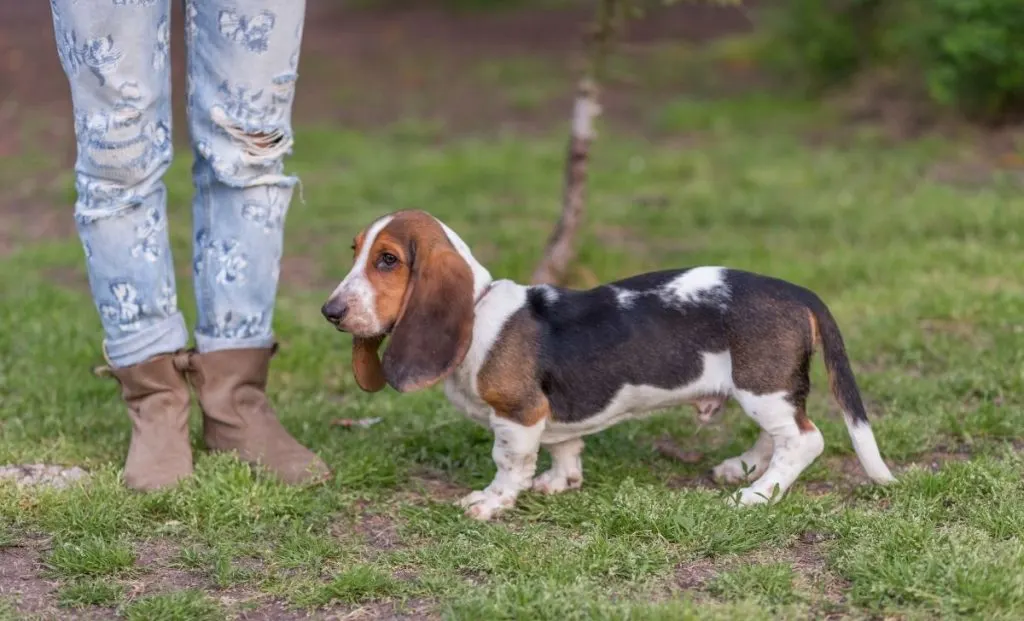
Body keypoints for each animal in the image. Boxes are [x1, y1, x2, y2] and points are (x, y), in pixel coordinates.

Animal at [321, 209, 897, 520]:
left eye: (388, 260)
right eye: (354, 251)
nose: (330, 312)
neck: (480, 310)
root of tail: (798, 292)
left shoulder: (518, 415)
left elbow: (508, 462)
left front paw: (492, 502)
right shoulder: (551, 418)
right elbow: (565, 446)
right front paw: (560, 481)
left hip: (761, 386)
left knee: (804, 439)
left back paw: (757, 494)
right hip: (762, 390)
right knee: (779, 435)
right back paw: (744, 469)